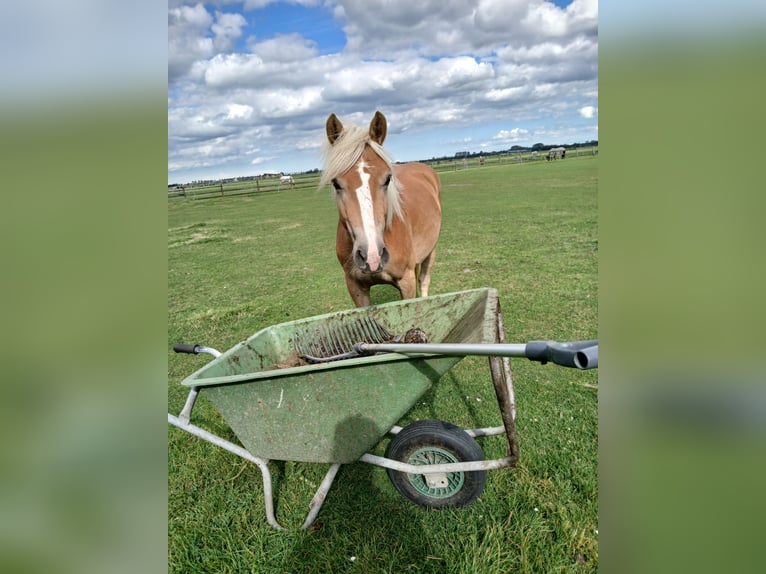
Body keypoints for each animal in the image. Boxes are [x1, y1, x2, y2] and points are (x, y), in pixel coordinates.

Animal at [320, 113, 444, 310]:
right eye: (336, 183)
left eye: (387, 179)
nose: (372, 256)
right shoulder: (356, 286)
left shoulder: (406, 282)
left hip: (430, 252)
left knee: (424, 281)